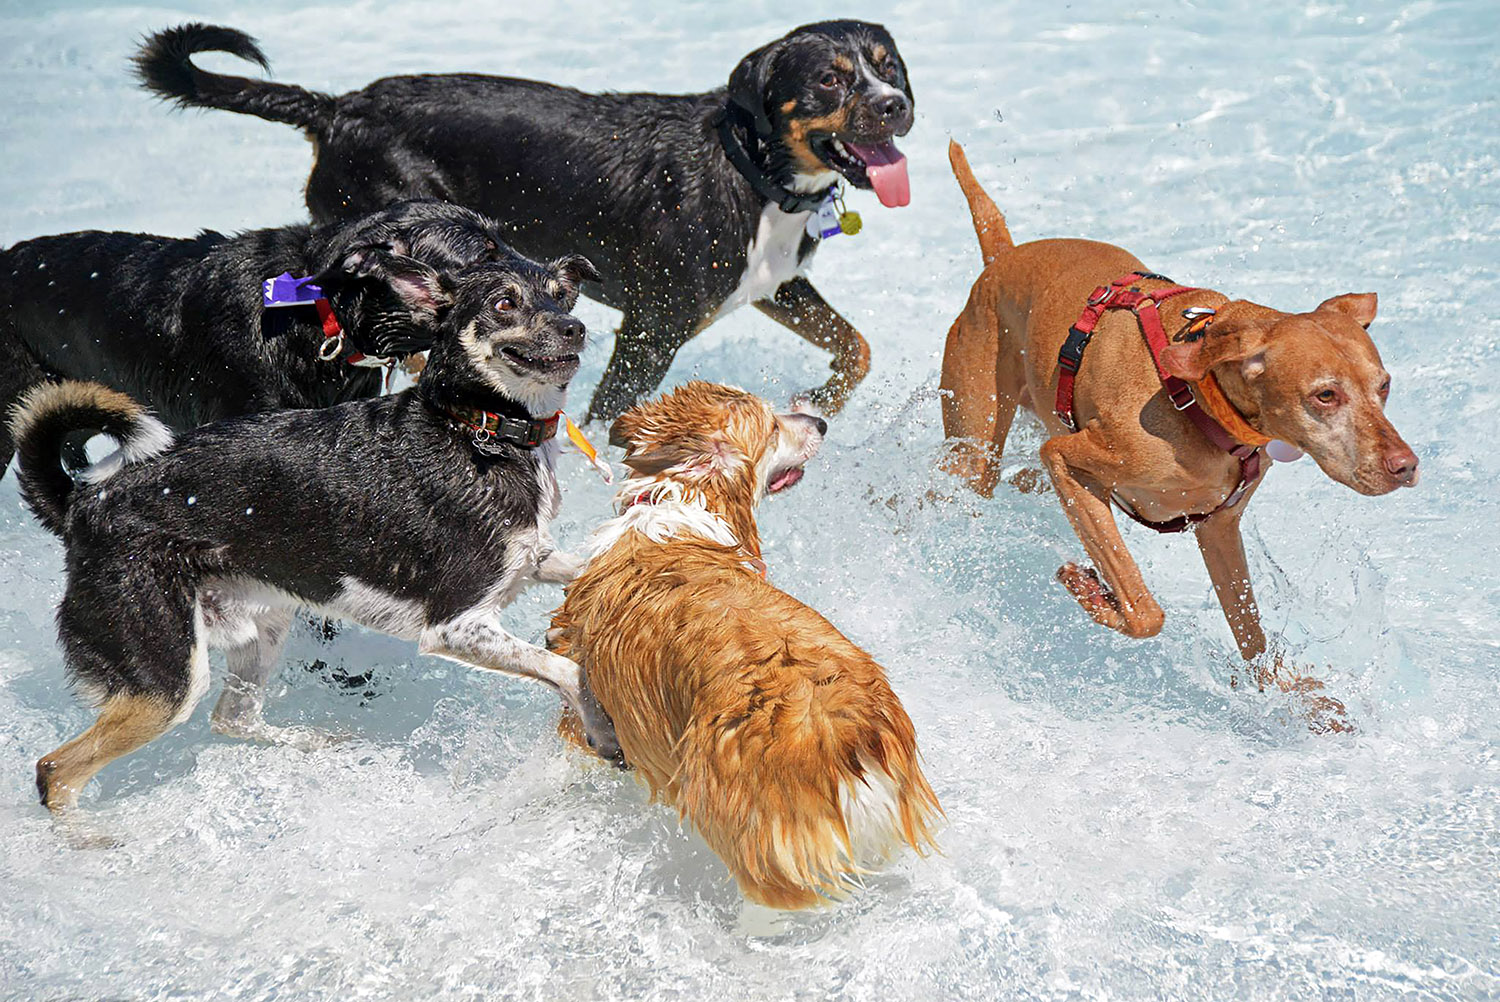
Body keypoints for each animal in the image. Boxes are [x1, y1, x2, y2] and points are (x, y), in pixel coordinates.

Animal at [8, 244, 612, 816]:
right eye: (505, 302)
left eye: (563, 296)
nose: (573, 328)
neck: (476, 429)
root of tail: (83, 503)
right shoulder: (455, 625)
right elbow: (563, 667)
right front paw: (602, 729)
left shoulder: (530, 559)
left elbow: (578, 567)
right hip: (164, 678)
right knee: (56, 770)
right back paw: (93, 840)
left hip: (263, 625)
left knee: (232, 718)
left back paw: (318, 743)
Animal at [135, 20, 918, 420]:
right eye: (829, 80)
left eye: (889, 67)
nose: (898, 106)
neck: (747, 169)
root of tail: (336, 109)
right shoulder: (652, 330)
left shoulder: (773, 285)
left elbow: (857, 348)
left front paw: (819, 398)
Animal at [936, 141, 1416, 693]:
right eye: (1325, 396)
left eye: (1384, 386)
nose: (1406, 466)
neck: (1196, 402)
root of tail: (1003, 256)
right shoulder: (1068, 459)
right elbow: (1144, 610)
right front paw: (1092, 592)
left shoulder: (1219, 529)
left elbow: (1250, 632)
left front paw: (1284, 693)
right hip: (972, 450)